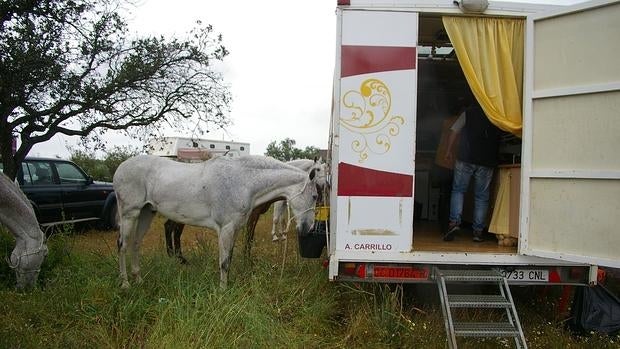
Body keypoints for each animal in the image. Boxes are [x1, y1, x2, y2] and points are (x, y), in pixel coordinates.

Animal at [112, 155, 320, 288]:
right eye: (315, 196)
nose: (308, 228)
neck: (243, 181)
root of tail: (120, 168)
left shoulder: (235, 229)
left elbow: (230, 258)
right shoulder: (226, 229)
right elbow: (224, 263)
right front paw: (223, 291)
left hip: (146, 213)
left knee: (136, 244)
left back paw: (138, 279)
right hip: (130, 214)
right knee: (123, 245)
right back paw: (125, 283)